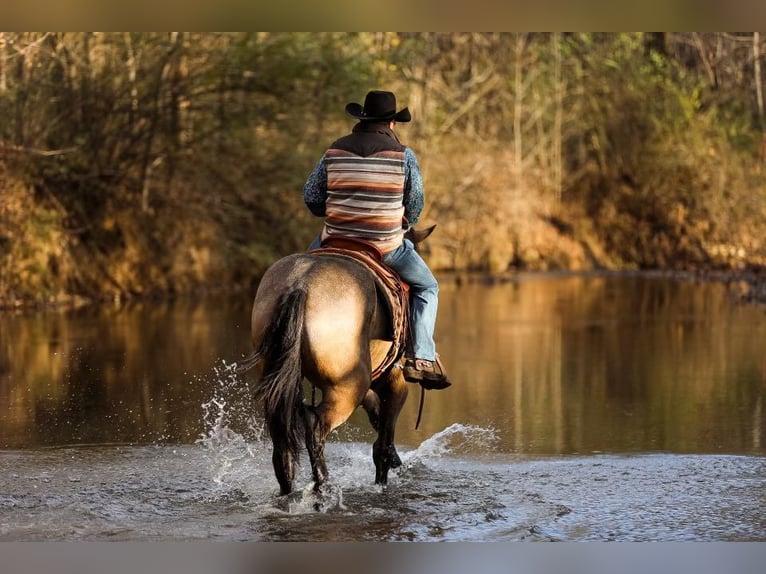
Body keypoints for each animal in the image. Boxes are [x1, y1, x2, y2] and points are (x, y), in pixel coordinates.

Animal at [237, 227, 436, 498]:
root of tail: (300, 284)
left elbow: (376, 415)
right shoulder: (394, 383)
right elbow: (382, 441)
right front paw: (384, 476)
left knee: (282, 449)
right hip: (347, 387)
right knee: (314, 426)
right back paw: (324, 484)